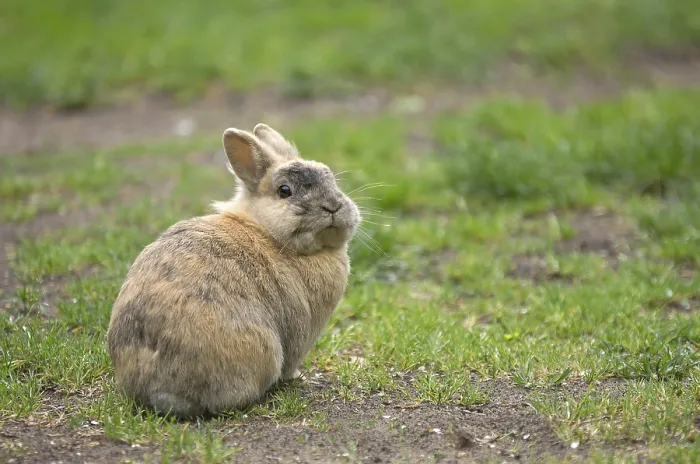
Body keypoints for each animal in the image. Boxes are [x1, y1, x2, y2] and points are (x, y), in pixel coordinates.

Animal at [106, 123, 361, 418]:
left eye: (331, 178)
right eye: (284, 190)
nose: (333, 206)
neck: (269, 232)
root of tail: (158, 389)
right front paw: (297, 376)